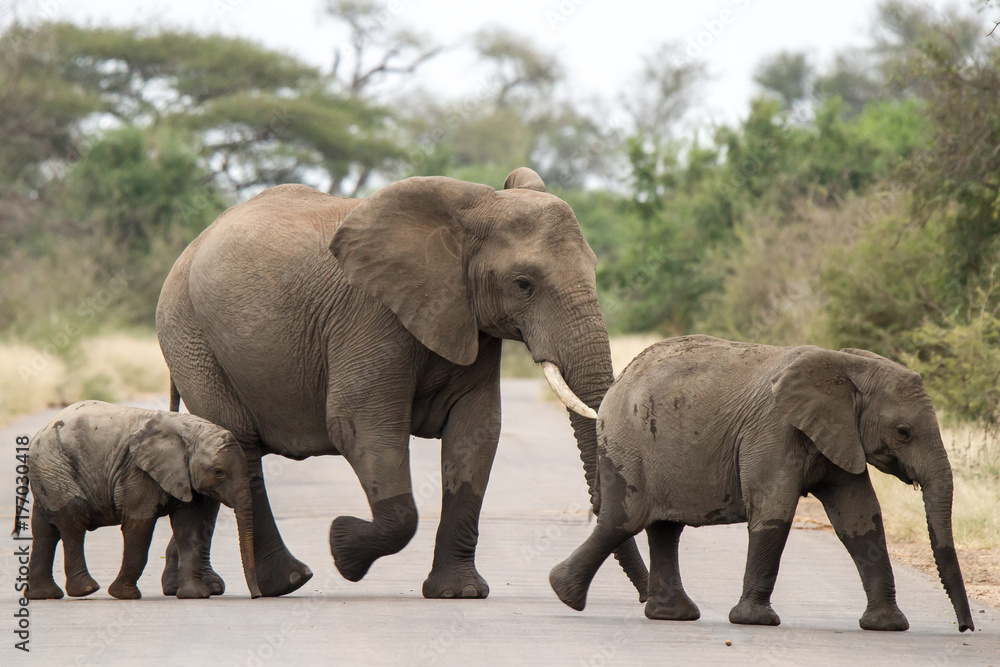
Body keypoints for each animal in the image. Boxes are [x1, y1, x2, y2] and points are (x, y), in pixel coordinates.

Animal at [16, 401, 260, 600]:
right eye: (218, 472)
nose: (256, 596)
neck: (190, 431)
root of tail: (36, 437)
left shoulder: (185, 476)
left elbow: (189, 528)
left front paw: (195, 595)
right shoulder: (136, 471)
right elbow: (139, 526)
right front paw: (124, 595)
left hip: (47, 474)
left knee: (45, 530)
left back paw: (43, 595)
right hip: (56, 467)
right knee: (74, 519)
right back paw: (86, 590)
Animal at [155, 167, 649, 599]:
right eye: (523, 284)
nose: (645, 597)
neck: (472, 211)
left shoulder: (468, 320)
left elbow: (477, 431)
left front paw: (460, 593)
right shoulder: (370, 315)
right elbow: (360, 426)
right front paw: (342, 547)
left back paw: (189, 585)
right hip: (191, 336)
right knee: (240, 446)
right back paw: (286, 582)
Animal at [549, 335, 975, 633]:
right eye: (903, 431)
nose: (965, 628)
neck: (847, 365)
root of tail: (619, 381)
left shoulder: (839, 436)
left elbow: (860, 517)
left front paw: (888, 626)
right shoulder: (775, 429)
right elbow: (774, 509)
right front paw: (754, 621)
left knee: (664, 528)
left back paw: (672, 615)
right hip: (629, 441)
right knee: (625, 519)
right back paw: (564, 593)